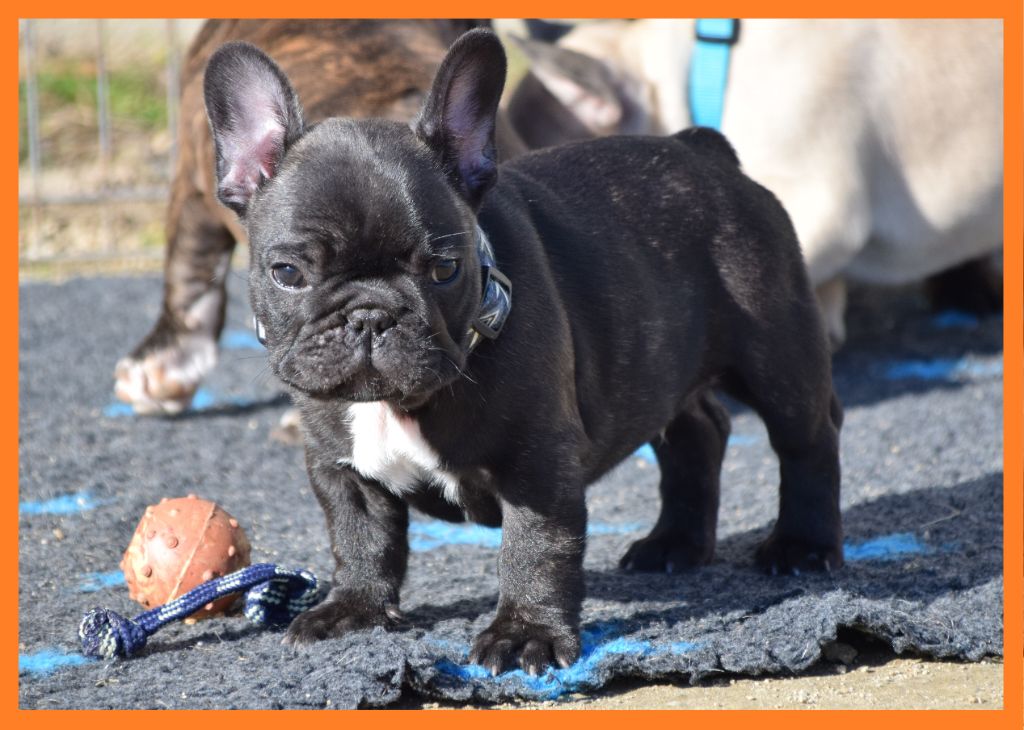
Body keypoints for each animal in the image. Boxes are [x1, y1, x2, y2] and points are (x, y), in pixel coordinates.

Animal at [114, 20, 525, 417]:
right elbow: (189, 268)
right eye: (288, 274)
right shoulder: (192, 185)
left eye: (445, 270)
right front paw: (168, 361)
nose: (369, 316)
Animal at [203, 29, 843, 675]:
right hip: (663, 365)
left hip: (775, 351)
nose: (370, 315)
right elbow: (361, 538)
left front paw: (524, 633)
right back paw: (675, 544)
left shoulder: (538, 465)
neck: (399, 403)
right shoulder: (341, 466)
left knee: (807, 438)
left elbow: (535, 549)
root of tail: (705, 152)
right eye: (287, 273)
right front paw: (353, 610)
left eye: (444, 269)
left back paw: (802, 546)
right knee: (698, 431)